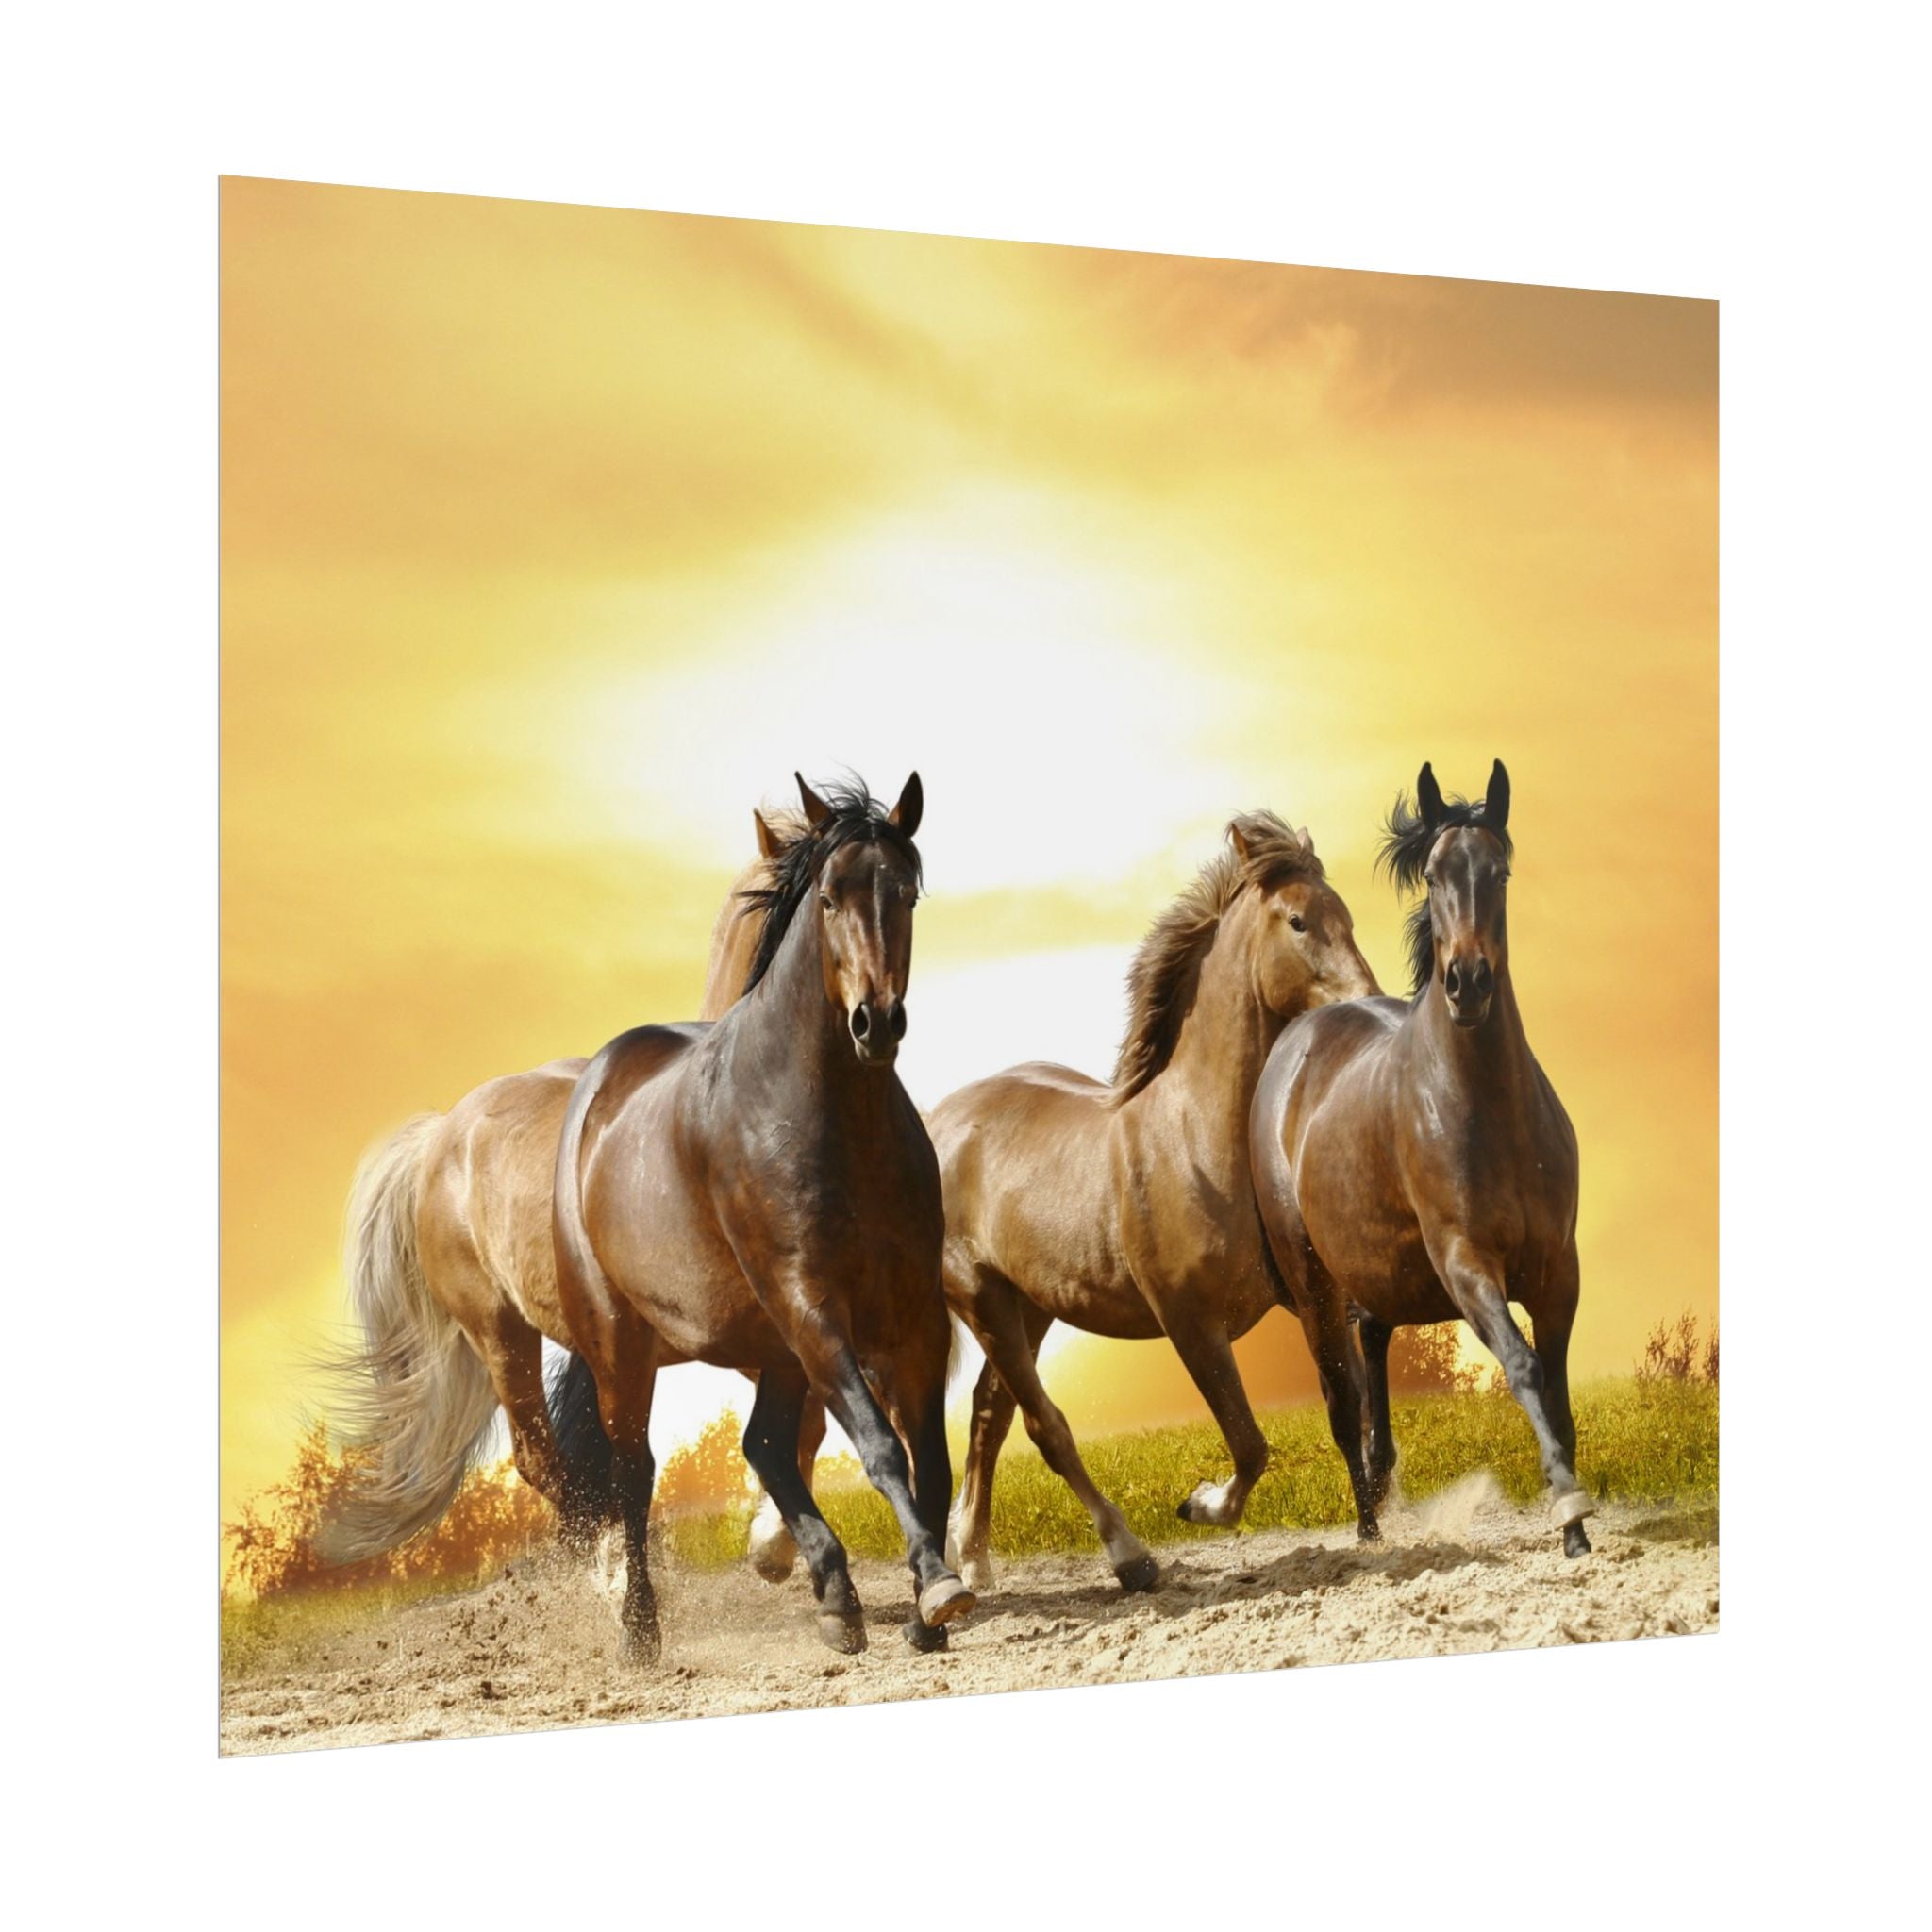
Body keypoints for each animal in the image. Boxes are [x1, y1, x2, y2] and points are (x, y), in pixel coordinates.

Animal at [550, 774, 973, 1663]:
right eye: (829, 896)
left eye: (905, 892)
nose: (875, 1022)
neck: (832, 1121)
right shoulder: (813, 1306)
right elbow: (880, 1446)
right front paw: (939, 1587)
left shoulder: (912, 1313)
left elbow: (930, 1460)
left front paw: (927, 1608)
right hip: (625, 1350)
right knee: (634, 1473)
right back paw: (641, 1633)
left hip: (773, 1344)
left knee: (765, 1446)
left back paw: (837, 1599)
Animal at [931, 813, 1378, 1595]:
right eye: (1298, 920)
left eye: (1345, 914)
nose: (1368, 998)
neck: (1198, 1140)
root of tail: (934, 1121)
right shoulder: (1189, 1322)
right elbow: (1249, 1444)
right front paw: (1199, 1504)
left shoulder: (1314, 1297)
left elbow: (1344, 1405)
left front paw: (1375, 1528)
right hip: (982, 1300)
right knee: (1045, 1427)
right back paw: (1130, 1557)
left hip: (1029, 1306)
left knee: (989, 1414)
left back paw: (976, 1560)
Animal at [1249, 760, 1593, 1557]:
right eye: (1434, 874)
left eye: (1499, 871)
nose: (1467, 983)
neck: (1491, 1111)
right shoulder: (1466, 1262)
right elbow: (1525, 1367)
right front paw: (1569, 1509)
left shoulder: (1558, 1268)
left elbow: (1558, 1385)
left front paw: (1576, 1525)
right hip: (1313, 1283)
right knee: (1340, 1397)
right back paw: (1370, 1528)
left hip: (1383, 1271)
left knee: (1373, 1345)